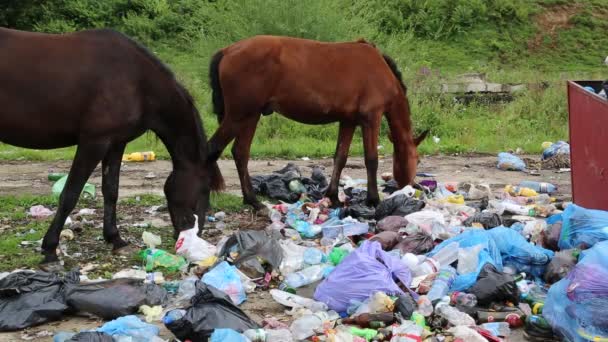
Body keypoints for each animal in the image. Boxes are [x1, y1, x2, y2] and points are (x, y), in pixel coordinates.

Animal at [0, 27, 223, 270]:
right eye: (204, 188)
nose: (194, 233)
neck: (138, 82)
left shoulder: (116, 143)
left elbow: (111, 190)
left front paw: (114, 238)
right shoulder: (93, 143)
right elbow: (70, 195)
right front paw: (50, 249)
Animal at [207, 36, 426, 210]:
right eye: (418, 160)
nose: (412, 187)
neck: (380, 70)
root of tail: (227, 51)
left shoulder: (348, 121)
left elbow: (340, 157)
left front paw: (333, 197)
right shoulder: (371, 119)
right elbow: (371, 159)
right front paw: (373, 200)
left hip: (250, 117)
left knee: (240, 153)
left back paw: (252, 200)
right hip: (239, 116)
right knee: (213, 148)